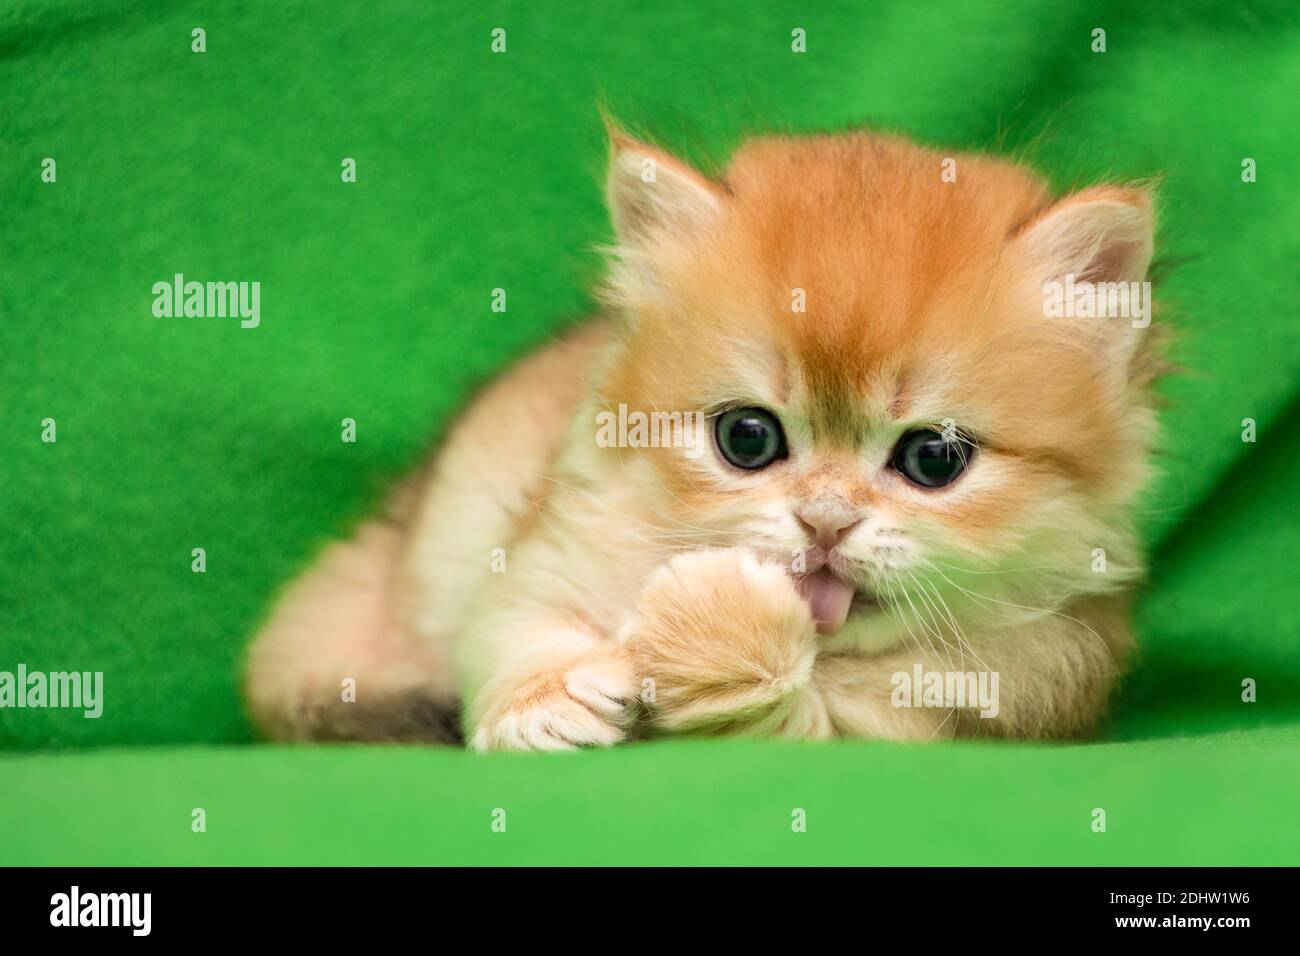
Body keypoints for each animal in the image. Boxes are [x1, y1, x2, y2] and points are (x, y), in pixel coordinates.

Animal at [244, 125, 1159, 749]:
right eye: (747, 439)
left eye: (933, 458)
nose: (825, 522)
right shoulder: (544, 547)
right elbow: (515, 625)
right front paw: (547, 701)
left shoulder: (980, 704)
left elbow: (782, 708)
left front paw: (716, 626)